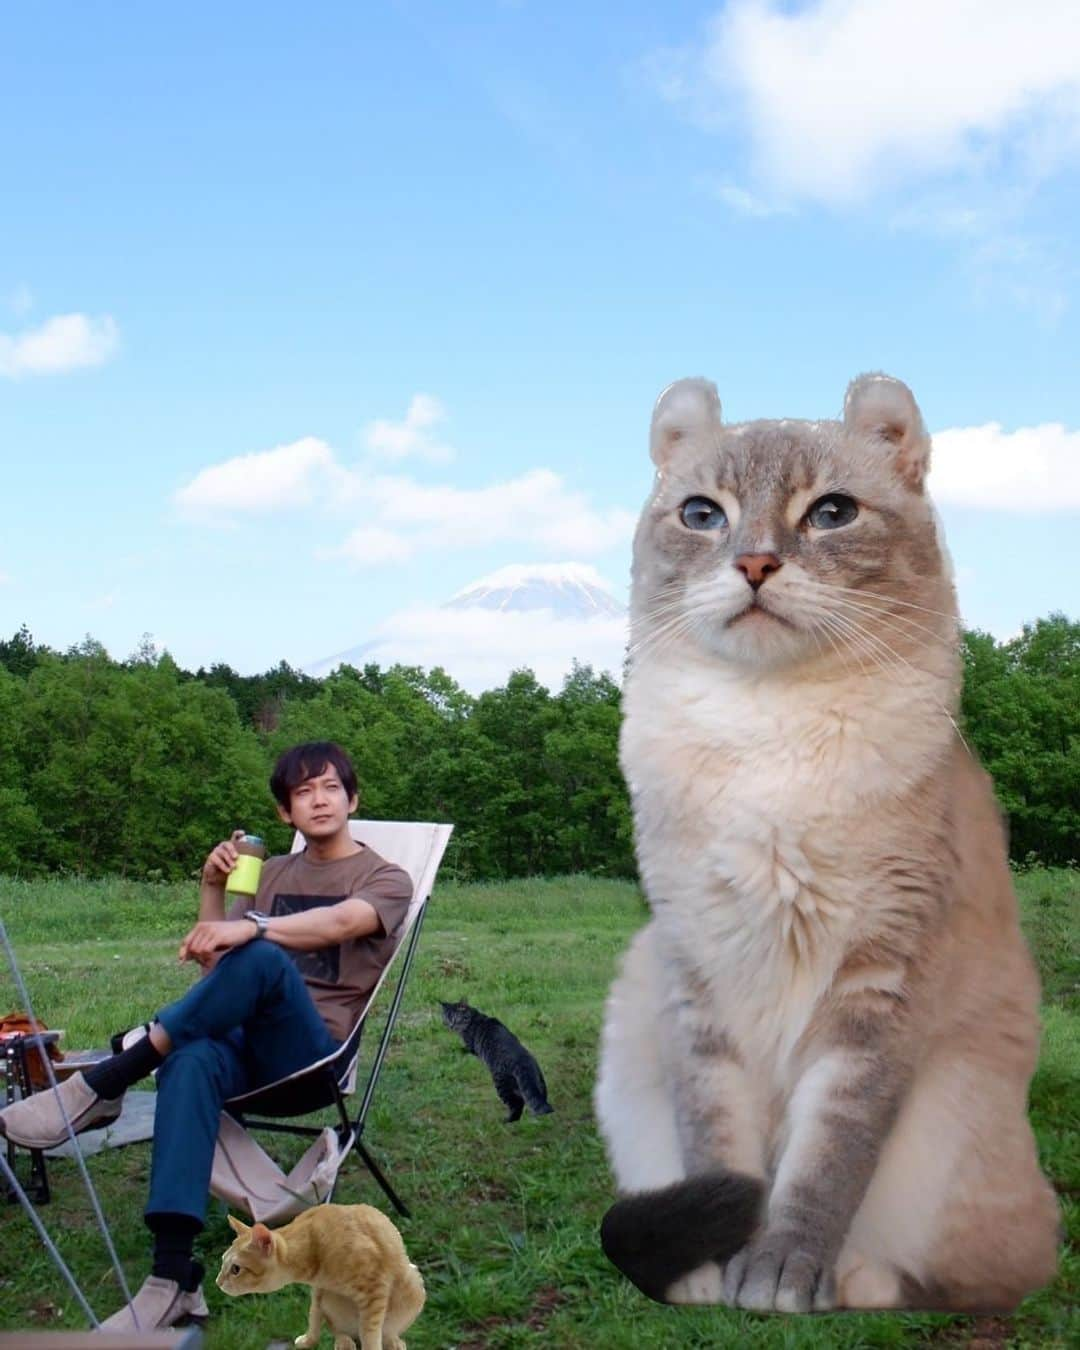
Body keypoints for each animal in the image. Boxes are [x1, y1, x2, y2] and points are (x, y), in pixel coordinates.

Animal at [217, 1204, 423, 1350]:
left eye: (235, 1269)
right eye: (222, 1262)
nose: (217, 1283)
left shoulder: (374, 1289)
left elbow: (370, 1331)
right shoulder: (318, 1291)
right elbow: (314, 1316)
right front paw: (309, 1340)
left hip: (413, 1285)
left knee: (386, 1330)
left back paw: (393, 1341)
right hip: (330, 1298)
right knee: (339, 1329)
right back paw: (344, 1342)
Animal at [599, 375, 1063, 1312]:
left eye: (832, 513)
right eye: (703, 515)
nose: (754, 564)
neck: (765, 728)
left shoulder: (876, 987)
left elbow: (822, 1165)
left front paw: (782, 1275)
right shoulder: (697, 978)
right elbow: (723, 1153)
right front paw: (718, 1268)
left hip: (955, 1119)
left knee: (958, 1272)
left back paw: (856, 1277)